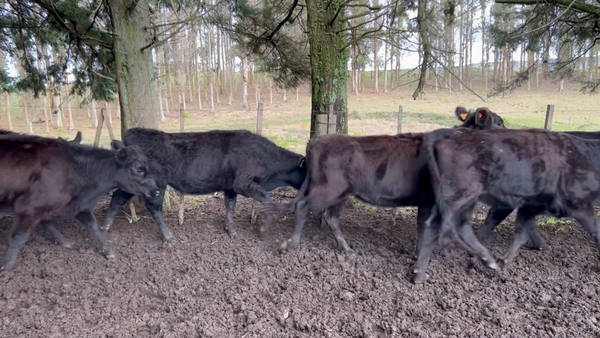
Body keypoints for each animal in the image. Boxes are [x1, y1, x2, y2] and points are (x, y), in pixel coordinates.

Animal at [0, 133, 159, 270]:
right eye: (139, 169)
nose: (156, 191)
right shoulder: (30, 207)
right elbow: (18, 237)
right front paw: (7, 266)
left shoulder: (78, 207)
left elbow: (95, 229)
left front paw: (107, 251)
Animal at [99, 127, 308, 240]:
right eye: (308, 171)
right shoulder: (242, 183)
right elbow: (265, 197)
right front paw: (264, 226)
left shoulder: (230, 187)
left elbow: (230, 206)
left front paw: (230, 230)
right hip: (157, 184)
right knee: (153, 208)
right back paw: (168, 236)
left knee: (117, 198)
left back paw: (105, 228)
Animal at [264, 106, 506, 254]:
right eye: (500, 122)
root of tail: (317, 139)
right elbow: (425, 229)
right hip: (328, 189)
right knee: (304, 207)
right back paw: (291, 243)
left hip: (342, 192)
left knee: (330, 217)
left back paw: (345, 248)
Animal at [418, 128, 600, 284]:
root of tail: (446, 136)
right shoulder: (579, 204)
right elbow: (596, 231)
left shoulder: (529, 207)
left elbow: (521, 233)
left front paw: (505, 261)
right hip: (462, 194)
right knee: (453, 226)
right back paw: (482, 258)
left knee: (439, 225)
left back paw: (420, 273)